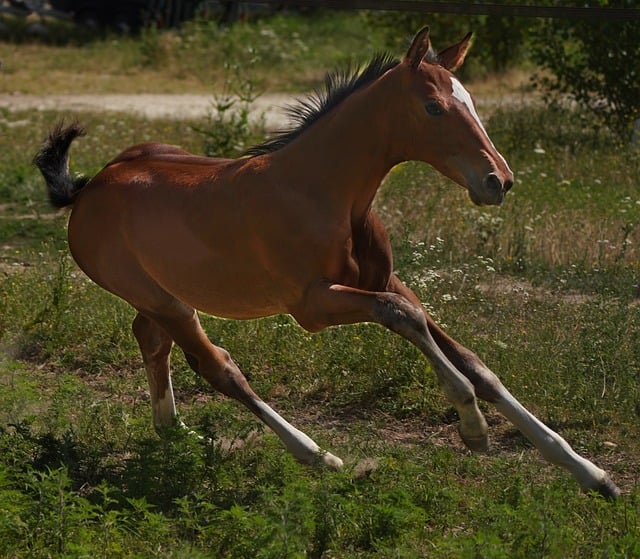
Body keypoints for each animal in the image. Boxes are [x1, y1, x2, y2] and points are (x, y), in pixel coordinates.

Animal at [35, 25, 620, 498]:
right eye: (434, 107)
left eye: (472, 101)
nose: (499, 180)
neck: (324, 192)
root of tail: (87, 189)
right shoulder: (313, 306)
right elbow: (403, 319)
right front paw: (472, 427)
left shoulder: (390, 280)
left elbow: (475, 363)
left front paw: (590, 473)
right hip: (163, 300)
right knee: (218, 367)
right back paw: (317, 455)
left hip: (164, 298)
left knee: (152, 343)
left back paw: (183, 435)